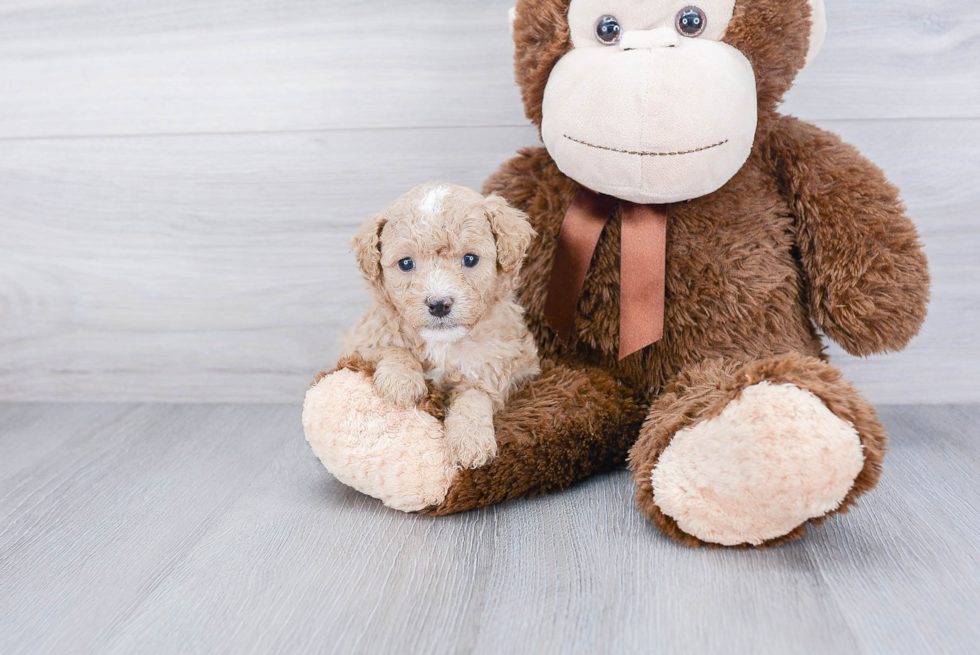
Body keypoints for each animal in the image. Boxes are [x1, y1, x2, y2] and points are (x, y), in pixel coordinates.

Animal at [342, 182, 544, 468]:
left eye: (470, 259)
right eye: (406, 263)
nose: (439, 304)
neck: (443, 342)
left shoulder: (495, 366)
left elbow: (474, 397)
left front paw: (471, 441)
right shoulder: (360, 339)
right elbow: (392, 349)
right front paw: (401, 382)